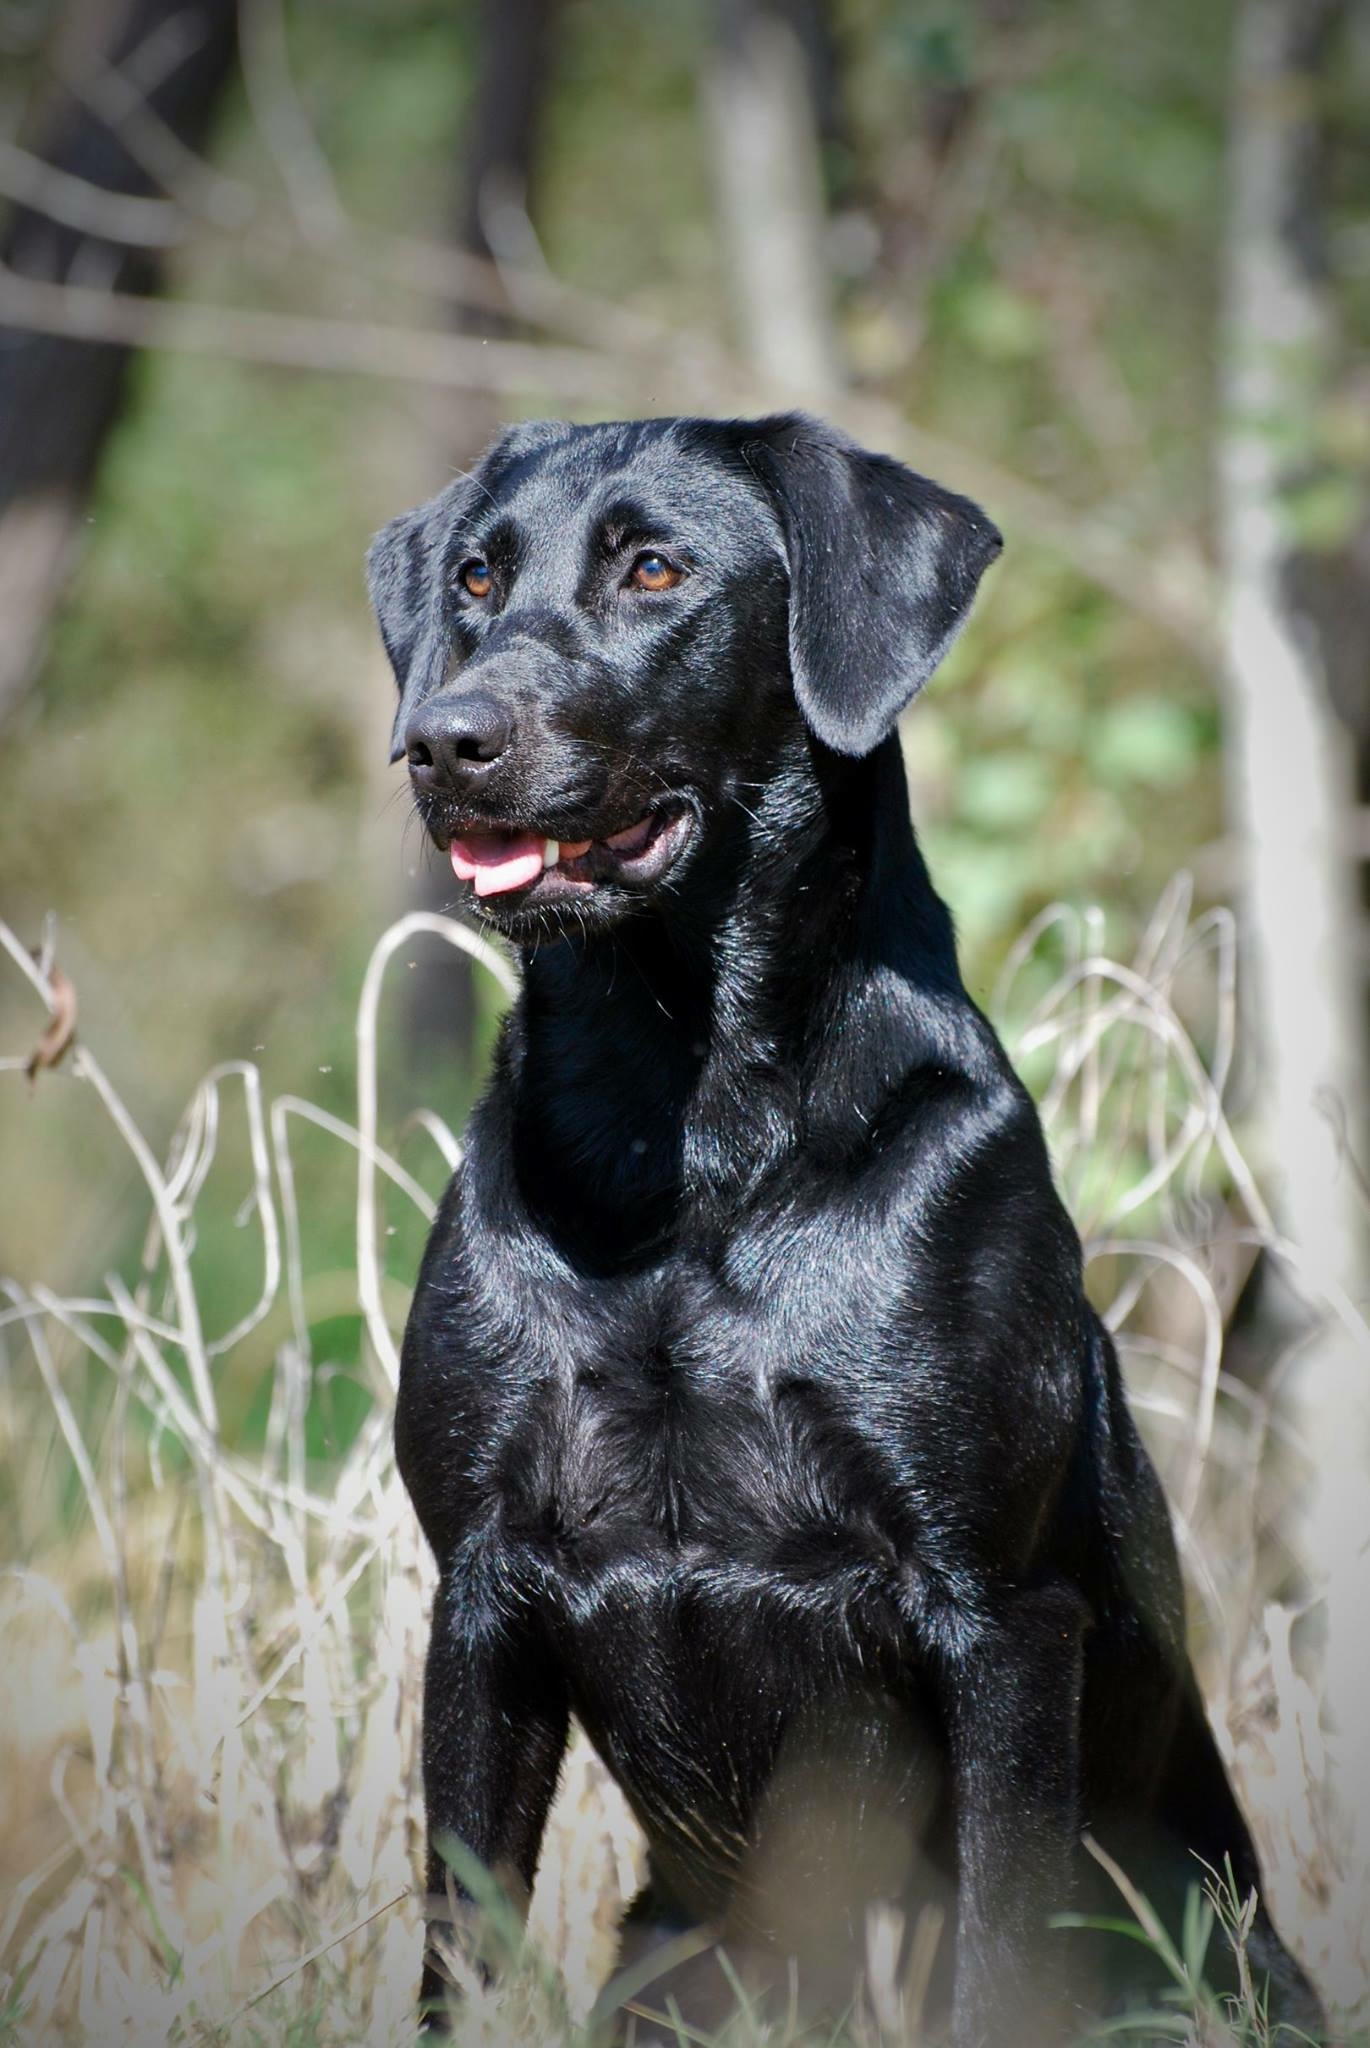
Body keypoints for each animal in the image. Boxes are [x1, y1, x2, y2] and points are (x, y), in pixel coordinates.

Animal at [362, 407, 1310, 2039]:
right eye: (476, 579)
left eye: (655, 569)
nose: (444, 740)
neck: (682, 1143)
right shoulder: (477, 1594)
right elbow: (456, 1946)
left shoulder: (998, 1612)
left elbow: (997, 1949)